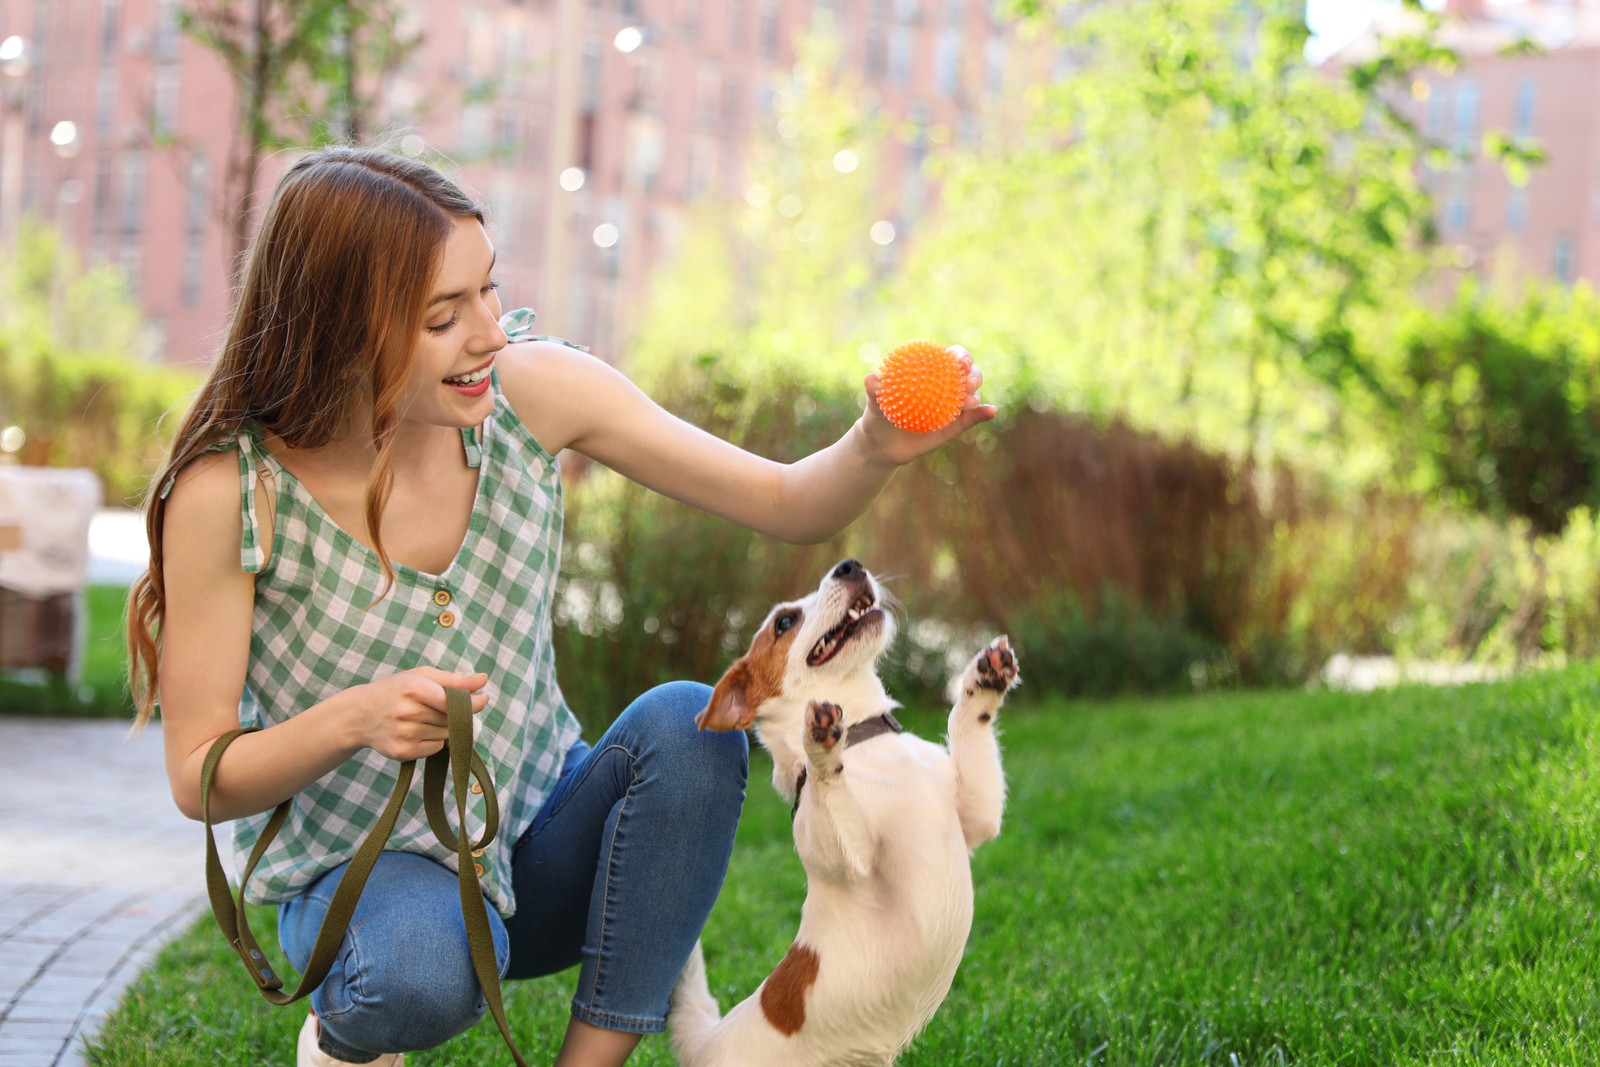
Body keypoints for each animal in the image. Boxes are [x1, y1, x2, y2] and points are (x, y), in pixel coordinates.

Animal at [668, 563, 1017, 1062]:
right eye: (784, 622)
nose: (849, 565)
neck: (867, 739)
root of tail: (707, 1043)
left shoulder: (976, 816)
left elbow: (966, 725)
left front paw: (984, 681)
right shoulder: (850, 860)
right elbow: (830, 794)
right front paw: (819, 746)